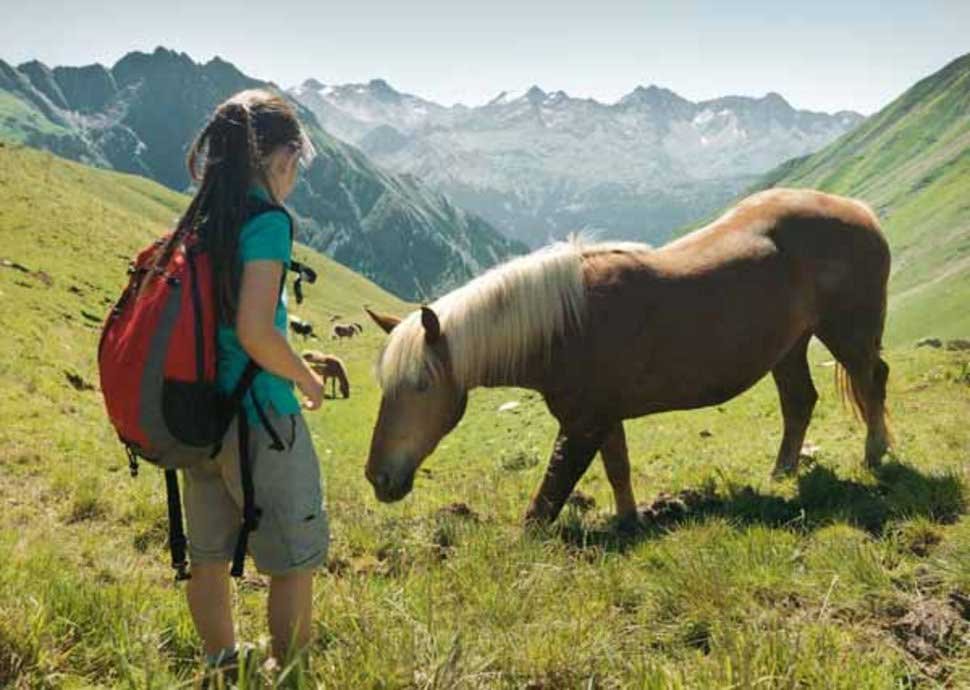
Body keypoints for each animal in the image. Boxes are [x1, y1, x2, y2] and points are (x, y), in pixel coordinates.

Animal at [364, 185, 892, 524]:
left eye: (421, 385)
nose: (378, 478)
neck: (566, 324)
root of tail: (861, 211)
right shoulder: (603, 417)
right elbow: (616, 467)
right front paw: (628, 520)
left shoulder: (582, 425)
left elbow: (548, 499)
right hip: (789, 346)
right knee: (799, 401)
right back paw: (782, 473)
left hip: (847, 333)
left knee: (872, 381)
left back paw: (875, 453)